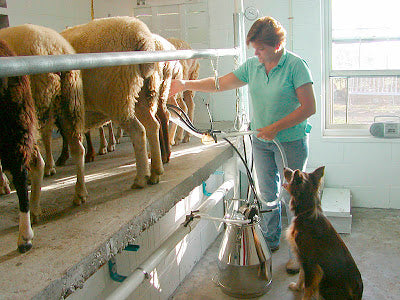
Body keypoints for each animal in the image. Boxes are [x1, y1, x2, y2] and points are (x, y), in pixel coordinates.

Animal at [284, 168, 362, 298]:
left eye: (293, 173)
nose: (285, 168)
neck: (306, 213)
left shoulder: (310, 263)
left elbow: (308, 286)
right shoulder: (302, 257)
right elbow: (301, 275)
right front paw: (296, 287)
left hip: (325, 285)